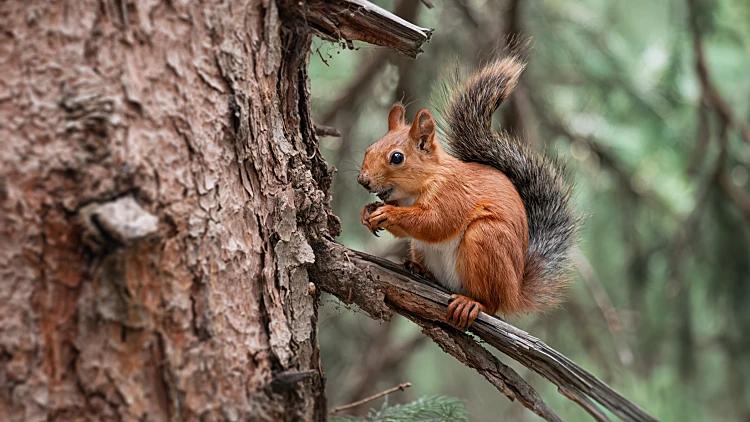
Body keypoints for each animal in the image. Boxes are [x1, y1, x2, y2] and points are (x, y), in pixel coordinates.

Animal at [357, 52, 579, 330]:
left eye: (397, 157)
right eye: (369, 148)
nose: (363, 180)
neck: (417, 189)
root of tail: (515, 291)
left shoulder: (453, 194)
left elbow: (436, 223)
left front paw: (389, 214)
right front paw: (367, 212)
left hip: (485, 240)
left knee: (491, 303)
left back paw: (471, 303)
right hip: (423, 249)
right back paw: (419, 269)